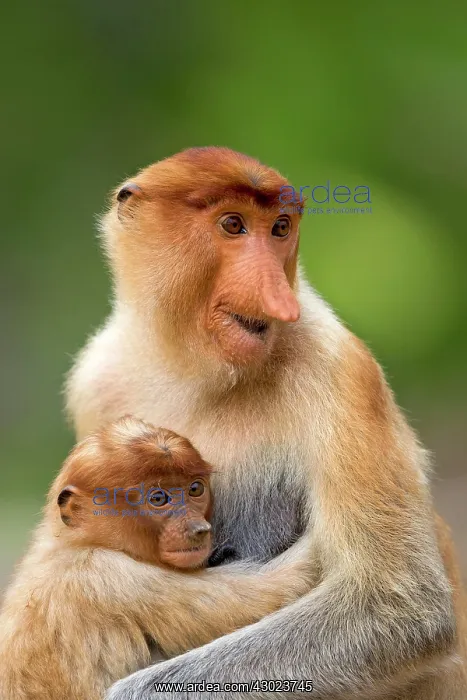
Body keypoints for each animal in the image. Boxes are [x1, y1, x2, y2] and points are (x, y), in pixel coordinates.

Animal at [0, 415, 313, 700]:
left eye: (195, 489)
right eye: (159, 498)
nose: (198, 529)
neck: (74, 542)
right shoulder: (109, 577)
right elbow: (277, 588)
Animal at [64, 146, 467, 699]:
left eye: (280, 228)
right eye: (232, 225)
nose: (275, 292)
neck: (195, 372)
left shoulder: (339, 368)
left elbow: (396, 606)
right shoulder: (96, 379)